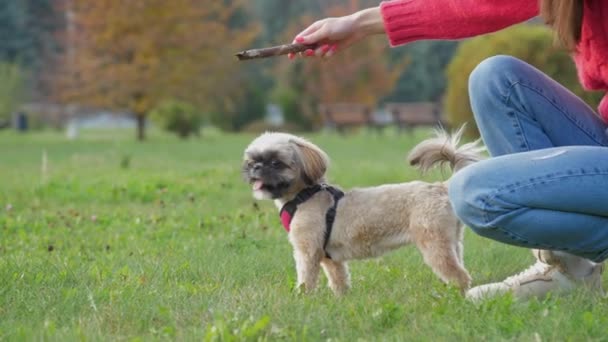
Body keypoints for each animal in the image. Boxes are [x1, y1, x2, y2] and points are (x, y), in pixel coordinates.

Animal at [242, 127, 484, 294]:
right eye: (252, 160)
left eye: (276, 162)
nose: (255, 167)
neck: (305, 195)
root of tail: (442, 187)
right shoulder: (330, 259)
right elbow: (339, 280)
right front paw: (341, 298)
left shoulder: (308, 251)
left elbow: (306, 279)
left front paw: (302, 297)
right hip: (451, 242)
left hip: (433, 242)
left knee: (458, 275)